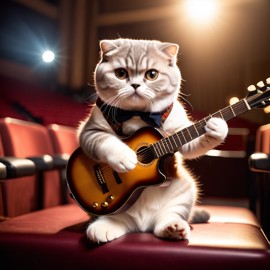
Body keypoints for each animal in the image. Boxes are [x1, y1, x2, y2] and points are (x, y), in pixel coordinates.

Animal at [78, 39, 228, 244]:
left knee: (166, 221)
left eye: (152, 75)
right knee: (116, 222)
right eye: (120, 73)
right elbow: (107, 142)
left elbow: (194, 145)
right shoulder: (89, 131)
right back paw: (101, 229)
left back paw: (174, 228)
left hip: (186, 192)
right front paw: (125, 158)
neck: (137, 114)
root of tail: (142, 226)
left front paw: (217, 126)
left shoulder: (180, 131)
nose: (135, 85)